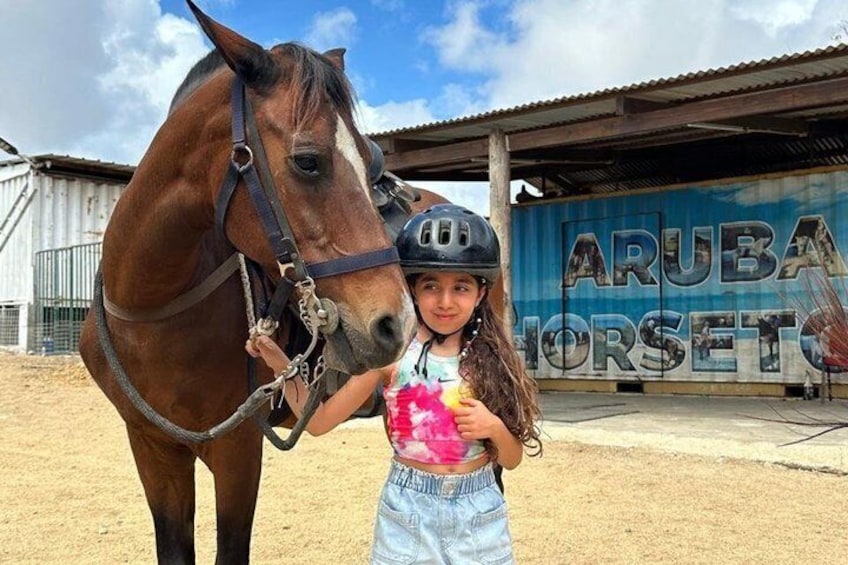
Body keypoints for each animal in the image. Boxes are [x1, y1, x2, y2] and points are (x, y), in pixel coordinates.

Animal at [79, 2, 416, 562]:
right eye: (308, 160)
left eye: (369, 164)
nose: (397, 324)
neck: (153, 313)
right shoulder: (151, 446)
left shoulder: (237, 450)